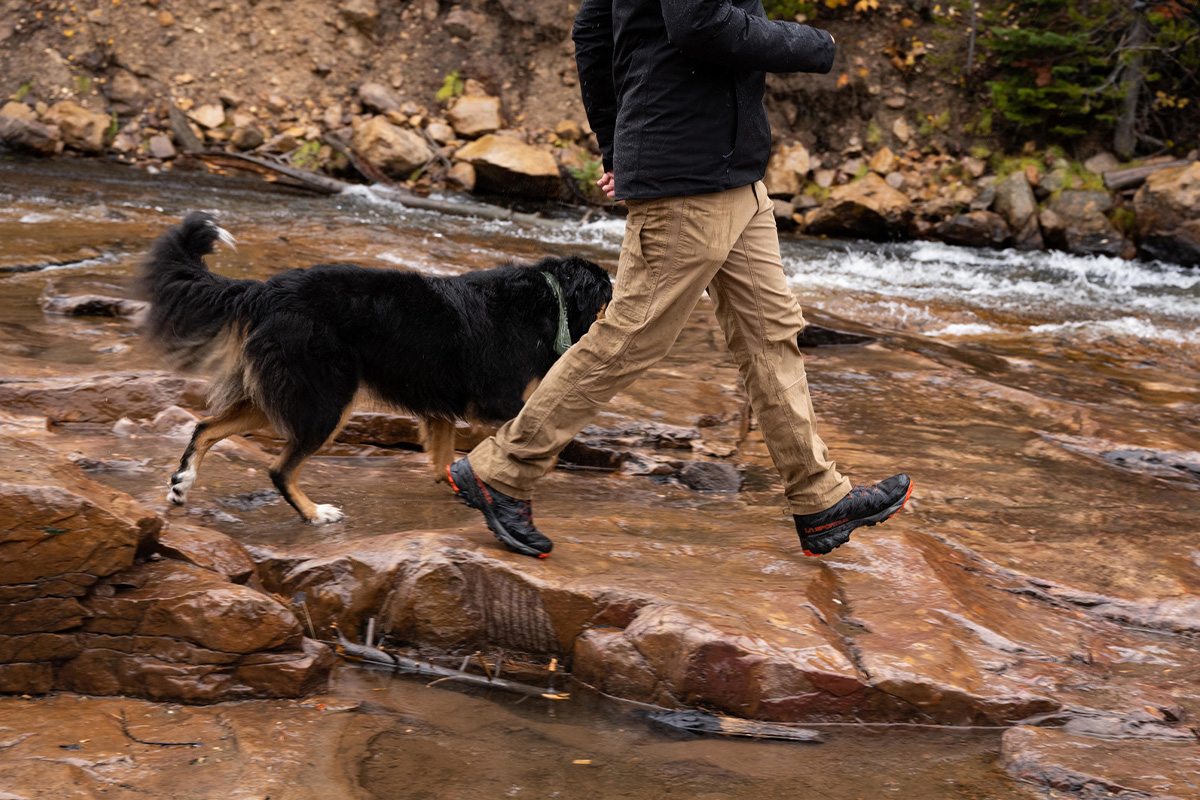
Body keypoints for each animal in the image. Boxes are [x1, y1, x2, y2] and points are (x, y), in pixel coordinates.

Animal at [140, 212, 609, 525]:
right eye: (610, 291)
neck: (552, 300)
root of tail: (264, 289)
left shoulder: (441, 408)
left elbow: (444, 461)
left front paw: (467, 483)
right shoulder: (497, 401)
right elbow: (549, 440)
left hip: (281, 394)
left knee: (205, 427)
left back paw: (182, 484)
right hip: (327, 400)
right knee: (279, 468)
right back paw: (316, 513)